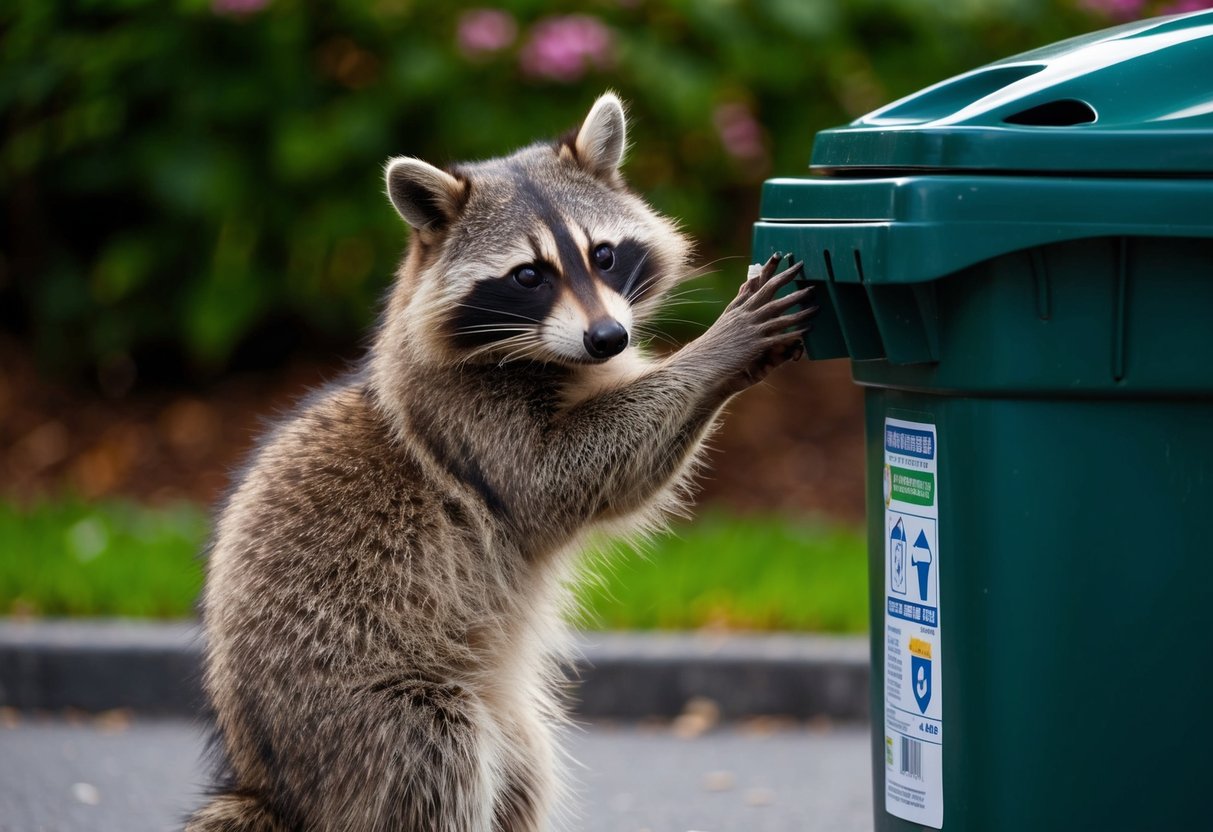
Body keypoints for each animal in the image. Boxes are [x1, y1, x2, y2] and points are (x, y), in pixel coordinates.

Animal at [187, 93, 813, 832]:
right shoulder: (469, 421)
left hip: (490, 721)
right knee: (439, 760)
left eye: (603, 255)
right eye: (528, 276)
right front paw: (715, 353)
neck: (549, 355)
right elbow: (564, 476)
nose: (609, 337)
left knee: (523, 771)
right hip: (356, 711)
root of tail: (267, 780)